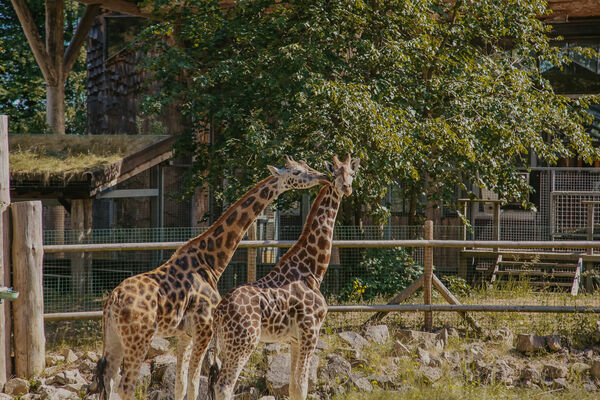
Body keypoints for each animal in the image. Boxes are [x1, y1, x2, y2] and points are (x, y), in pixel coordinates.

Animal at [92, 157, 328, 400]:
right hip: (139, 338)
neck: (211, 261)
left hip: (114, 337)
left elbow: (181, 383)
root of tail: (111, 301)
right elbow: (195, 382)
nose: (322, 176)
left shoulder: (186, 333)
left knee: (109, 380)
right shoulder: (204, 327)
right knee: (126, 385)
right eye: (297, 172)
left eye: (306, 165)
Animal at [211, 153, 360, 400]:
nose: (346, 188)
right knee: (224, 386)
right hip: (243, 342)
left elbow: (293, 387)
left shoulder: (294, 339)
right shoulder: (311, 331)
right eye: (336, 173)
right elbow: (302, 386)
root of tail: (219, 312)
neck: (312, 270)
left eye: (352, 173)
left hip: (223, 344)